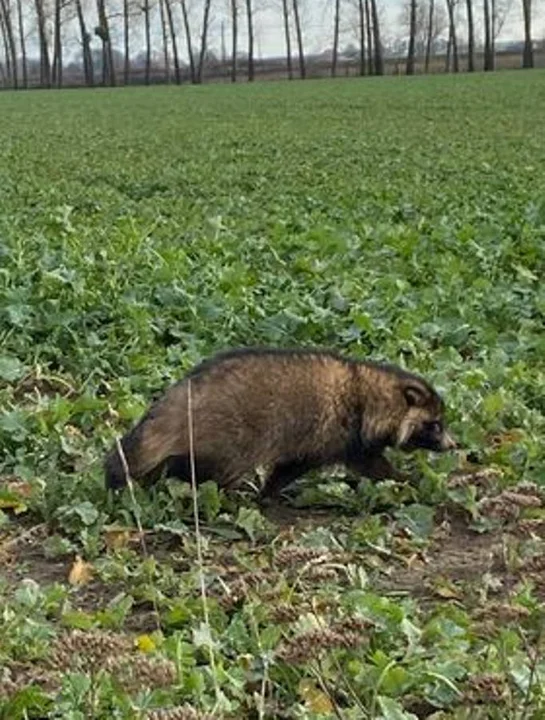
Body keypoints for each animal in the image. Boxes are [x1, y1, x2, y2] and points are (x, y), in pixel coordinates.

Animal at [104, 348, 456, 500]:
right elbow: (369, 465)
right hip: (227, 435)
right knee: (203, 470)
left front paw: (268, 491)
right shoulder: (341, 434)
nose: (454, 445)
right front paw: (407, 480)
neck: (372, 391)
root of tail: (180, 397)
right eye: (435, 425)